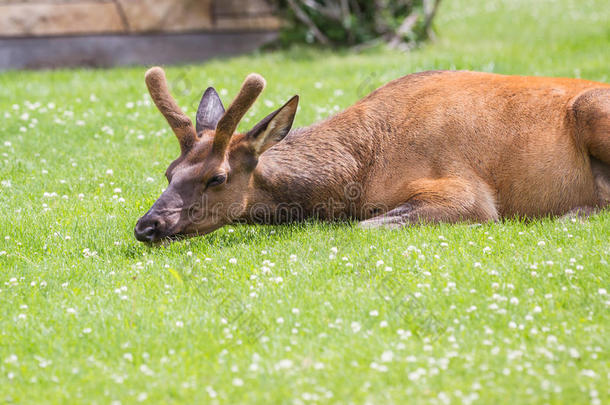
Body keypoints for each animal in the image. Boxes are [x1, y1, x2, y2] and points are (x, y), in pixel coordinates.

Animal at [134, 67, 608, 241]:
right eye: (168, 172)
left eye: (217, 177)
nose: (146, 225)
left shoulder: (467, 193)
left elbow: (363, 225)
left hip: (592, 108)